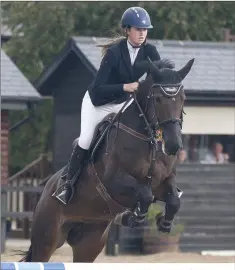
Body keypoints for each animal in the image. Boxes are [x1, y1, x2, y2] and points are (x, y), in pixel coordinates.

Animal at [19, 57, 193, 262]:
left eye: (183, 99)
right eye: (157, 98)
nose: (174, 145)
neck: (147, 140)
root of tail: (46, 190)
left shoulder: (163, 182)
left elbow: (173, 200)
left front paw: (163, 223)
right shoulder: (114, 182)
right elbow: (144, 194)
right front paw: (136, 217)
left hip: (89, 242)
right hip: (46, 238)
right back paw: (64, 192)